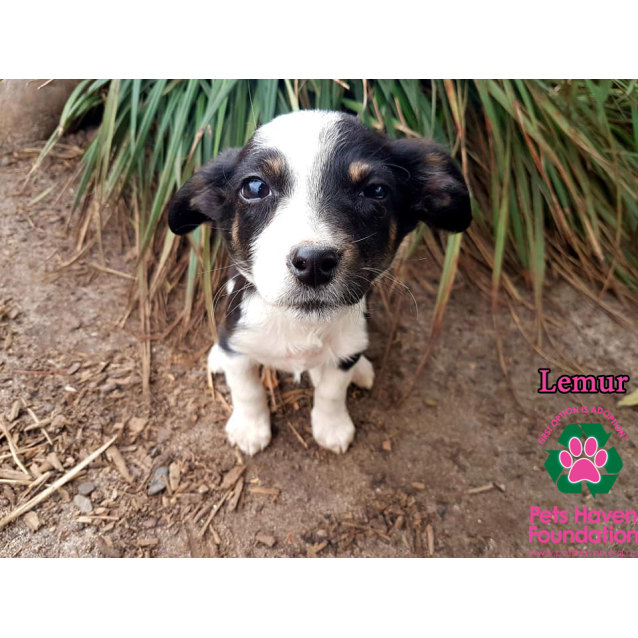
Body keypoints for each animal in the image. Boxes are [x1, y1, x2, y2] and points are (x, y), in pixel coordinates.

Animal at [168, 110, 472, 456]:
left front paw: (332, 427)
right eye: (255, 187)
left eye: (376, 191)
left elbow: (331, 391)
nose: (313, 262)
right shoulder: (239, 340)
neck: (301, 324)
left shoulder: (344, 351)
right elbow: (246, 388)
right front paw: (250, 428)